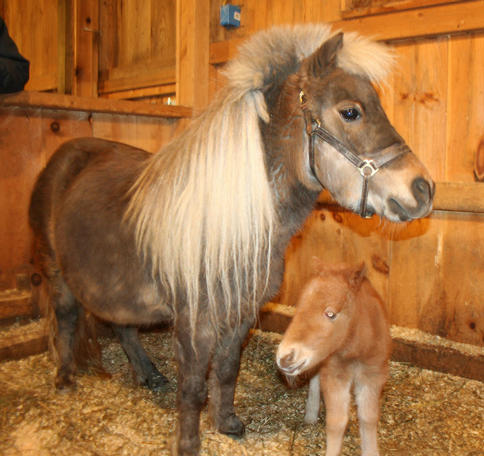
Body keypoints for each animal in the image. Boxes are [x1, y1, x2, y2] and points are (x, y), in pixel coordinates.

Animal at [278, 260, 392, 456]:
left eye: (330, 313)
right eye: (299, 307)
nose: (285, 357)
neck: (354, 350)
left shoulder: (373, 375)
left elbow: (368, 417)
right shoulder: (334, 375)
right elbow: (336, 422)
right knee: (315, 379)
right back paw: (311, 414)